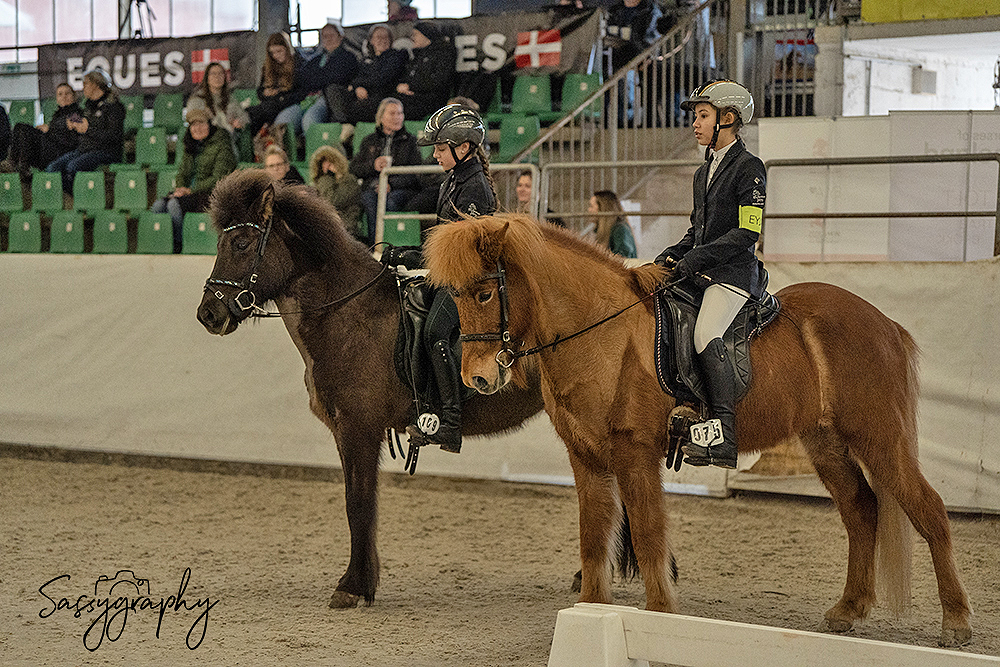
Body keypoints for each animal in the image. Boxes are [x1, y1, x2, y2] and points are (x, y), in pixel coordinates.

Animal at [196, 171, 548, 612]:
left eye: (242, 243)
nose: (209, 314)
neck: (348, 314)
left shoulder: (359, 428)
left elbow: (359, 502)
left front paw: (353, 586)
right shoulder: (345, 430)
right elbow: (358, 501)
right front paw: (362, 582)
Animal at [426, 213, 972, 648]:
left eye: (484, 291)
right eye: (454, 294)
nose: (478, 378)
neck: (603, 334)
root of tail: (884, 323)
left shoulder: (634, 454)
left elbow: (648, 536)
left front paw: (660, 615)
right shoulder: (586, 457)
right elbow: (594, 539)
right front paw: (591, 610)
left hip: (880, 439)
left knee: (929, 510)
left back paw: (956, 621)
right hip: (826, 443)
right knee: (861, 509)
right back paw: (848, 611)